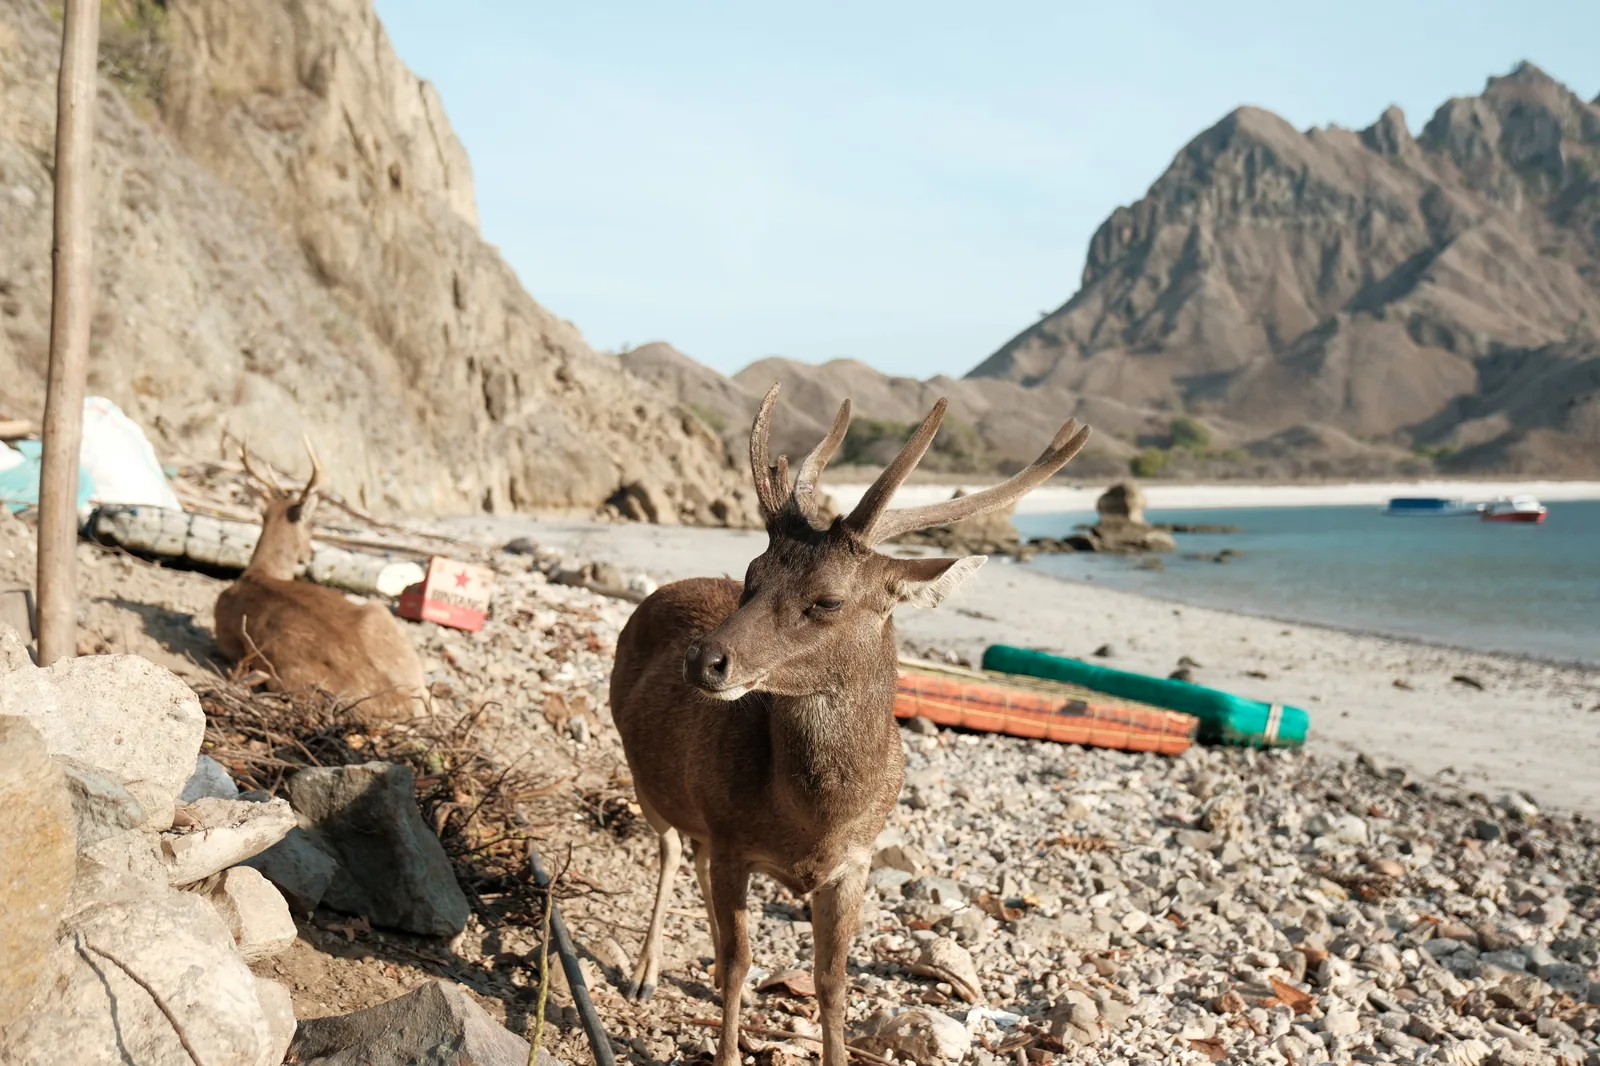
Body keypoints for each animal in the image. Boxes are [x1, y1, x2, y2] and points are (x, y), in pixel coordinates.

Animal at [609, 384, 1091, 1066]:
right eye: (751, 575)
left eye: (829, 599)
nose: (703, 660)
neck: (813, 822)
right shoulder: (732, 838)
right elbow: (743, 962)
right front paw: (726, 1044)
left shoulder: (855, 862)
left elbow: (832, 982)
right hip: (641, 772)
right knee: (673, 847)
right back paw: (645, 973)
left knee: (692, 857)